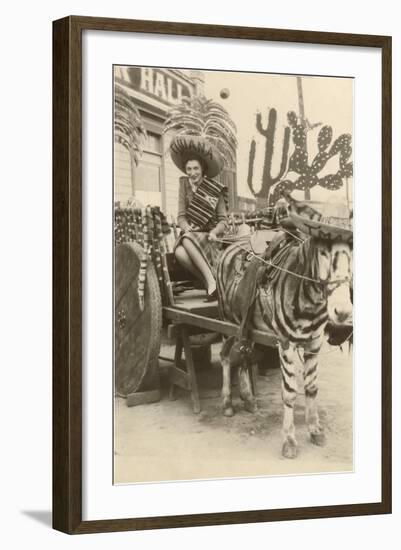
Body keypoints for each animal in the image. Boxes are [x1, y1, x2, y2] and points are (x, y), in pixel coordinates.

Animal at [216, 196, 350, 460]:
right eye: (323, 252)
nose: (342, 312)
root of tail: (228, 246)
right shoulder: (286, 343)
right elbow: (289, 391)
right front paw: (289, 440)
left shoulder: (314, 342)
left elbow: (311, 387)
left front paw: (315, 430)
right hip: (227, 322)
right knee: (226, 356)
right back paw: (227, 403)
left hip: (246, 326)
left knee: (244, 355)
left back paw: (248, 399)